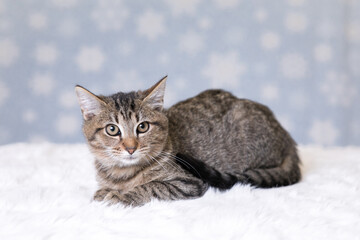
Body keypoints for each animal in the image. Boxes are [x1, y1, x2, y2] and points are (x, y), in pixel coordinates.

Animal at [75, 76, 300, 206]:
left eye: (143, 127)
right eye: (112, 129)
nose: (131, 148)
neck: (121, 174)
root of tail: (287, 137)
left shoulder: (187, 182)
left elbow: (150, 186)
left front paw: (120, 196)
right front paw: (105, 190)